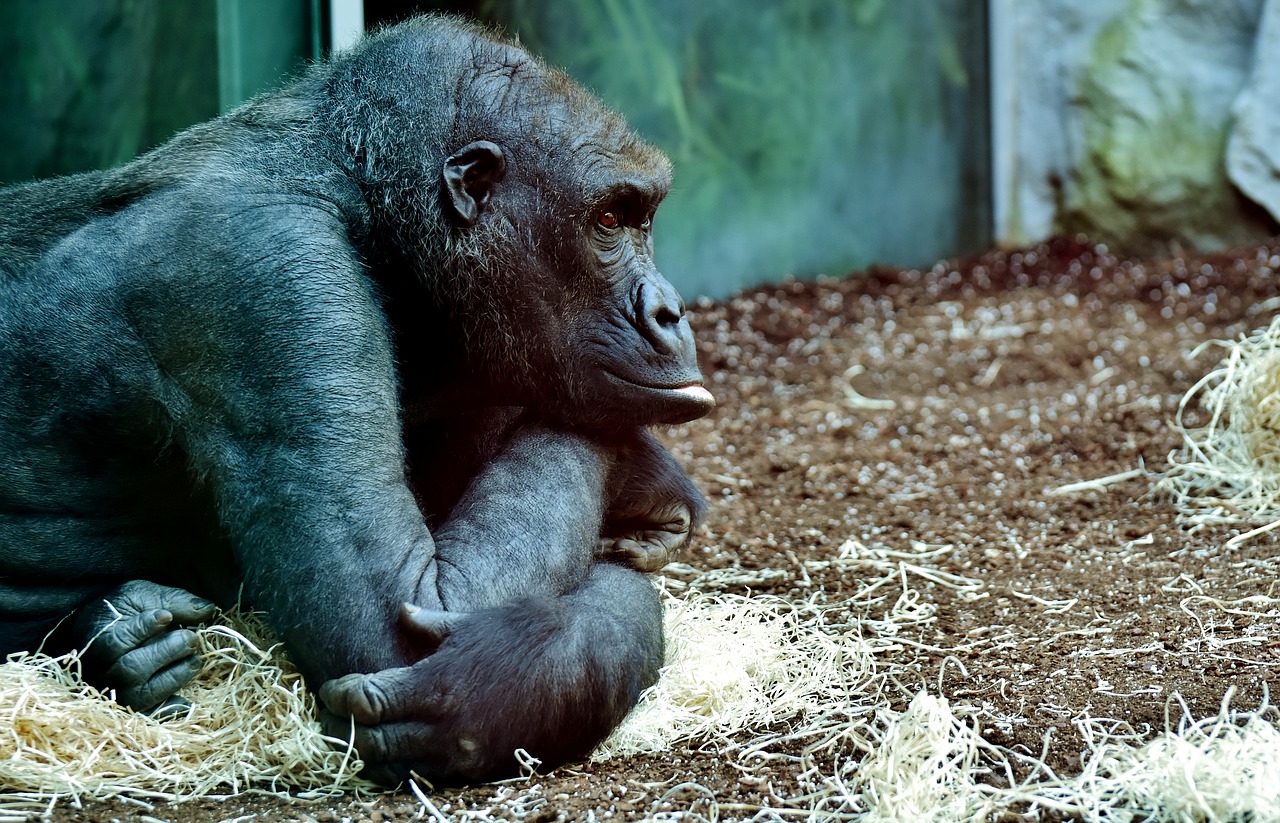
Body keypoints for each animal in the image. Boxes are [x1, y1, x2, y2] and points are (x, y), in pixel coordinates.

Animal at [0, 14, 716, 783]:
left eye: (642, 217)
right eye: (609, 220)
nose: (669, 310)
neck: (361, 202)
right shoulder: (271, 276)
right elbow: (403, 615)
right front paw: (497, 679)